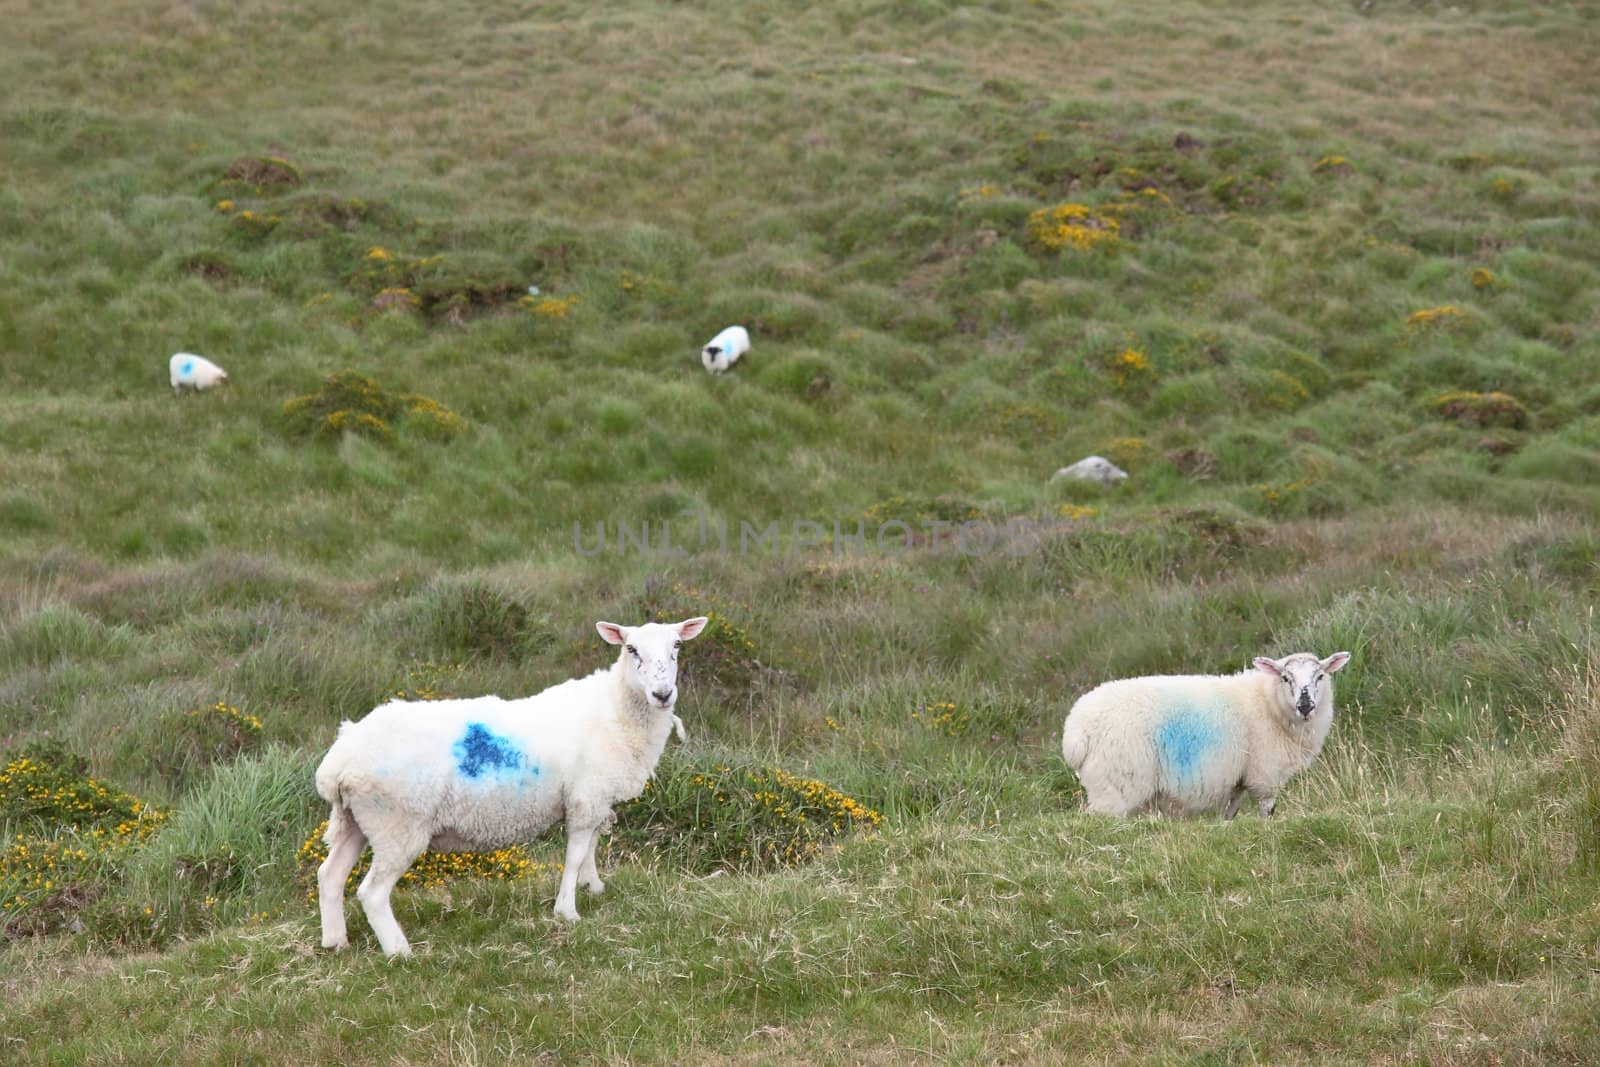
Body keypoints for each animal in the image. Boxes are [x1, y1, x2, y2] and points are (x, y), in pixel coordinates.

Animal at [312, 614, 707, 953]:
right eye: (631, 649)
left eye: (676, 646)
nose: (662, 694)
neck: (615, 711)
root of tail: (339, 760)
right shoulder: (585, 798)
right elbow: (575, 854)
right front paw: (567, 911)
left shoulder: (594, 797)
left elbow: (592, 846)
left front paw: (593, 887)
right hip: (397, 824)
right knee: (372, 893)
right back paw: (399, 951)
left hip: (356, 821)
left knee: (329, 875)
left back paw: (335, 941)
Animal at [1062, 652, 1350, 819]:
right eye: (1285, 678)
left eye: (1320, 676)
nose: (1306, 706)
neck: (1268, 703)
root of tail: (1076, 729)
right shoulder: (1264, 775)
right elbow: (1267, 812)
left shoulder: (1238, 781)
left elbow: (1229, 815)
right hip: (1115, 786)